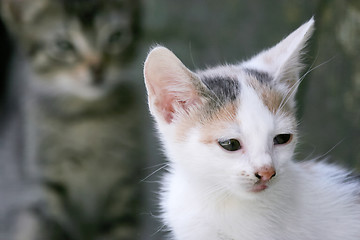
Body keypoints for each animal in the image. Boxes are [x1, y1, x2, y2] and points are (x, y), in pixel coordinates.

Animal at [0, 0, 143, 239]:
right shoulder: (45, 185)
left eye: (115, 37)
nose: (97, 68)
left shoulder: (125, 182)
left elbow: (118, 228)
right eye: (63, 45)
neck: (89, 118)